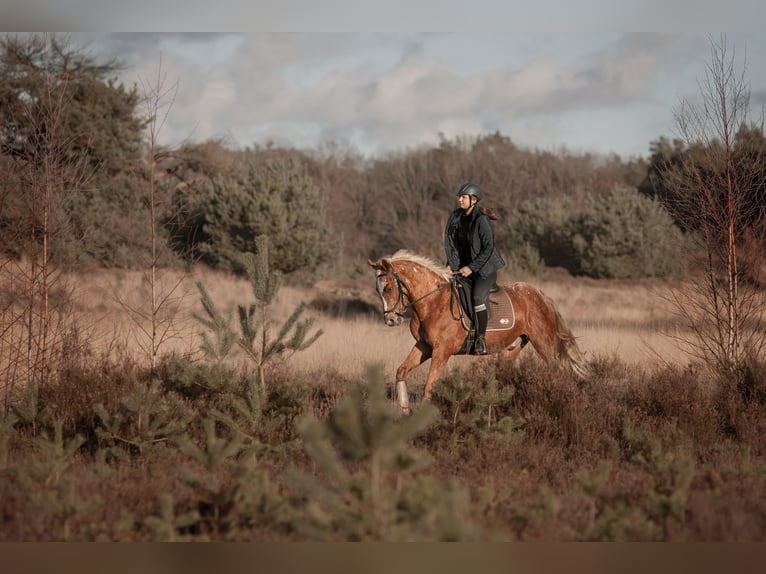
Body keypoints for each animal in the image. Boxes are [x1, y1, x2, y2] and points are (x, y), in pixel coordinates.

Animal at [368, 250, 592, 416]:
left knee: (558, 371)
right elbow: (401, 371)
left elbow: (430, 386)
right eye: (378, 290)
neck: (433, 301)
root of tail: (541, 296)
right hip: (511, 349)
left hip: (544, 344)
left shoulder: (442, 351)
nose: (390, 320)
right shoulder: (424, 346)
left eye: (388, 288)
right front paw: (405, 411)